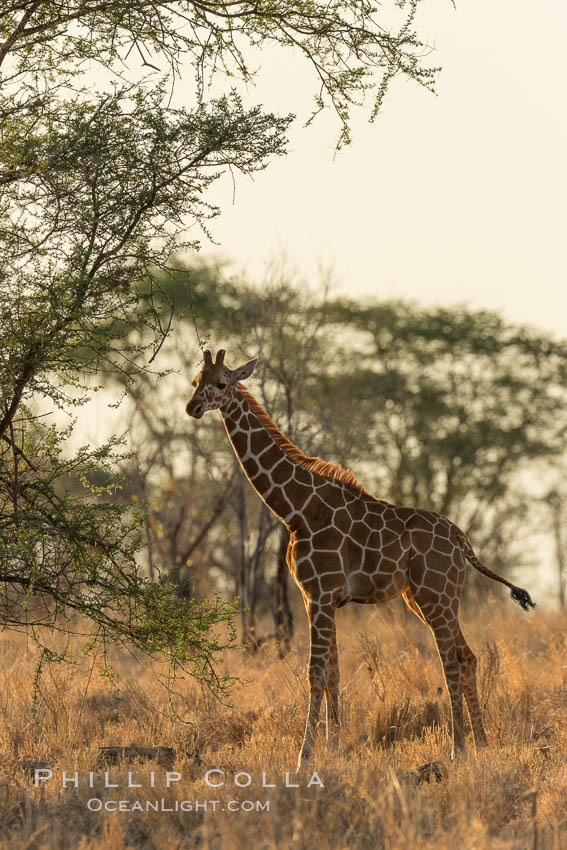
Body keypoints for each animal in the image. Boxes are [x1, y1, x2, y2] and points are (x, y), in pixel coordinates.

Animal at [186, 348, 536, 764]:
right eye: (196, 381)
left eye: (222, 383)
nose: (192, 407)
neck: (294, 509)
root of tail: (461, 539)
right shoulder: (319, 598)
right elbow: (334, 673)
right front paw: (335, 748)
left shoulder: (319, 595)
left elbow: (315, 673)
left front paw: (305, 754)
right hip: (423, 598)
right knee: (468, 656)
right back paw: (481, 743)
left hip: (436, 595)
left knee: (451, 659)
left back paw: (459, 748)